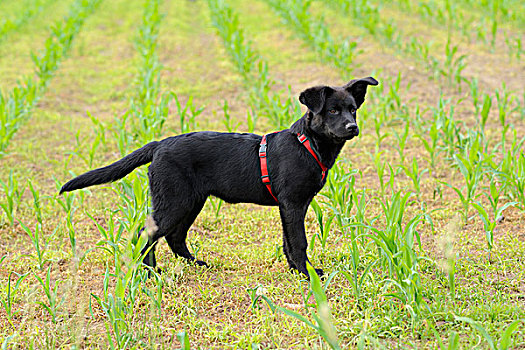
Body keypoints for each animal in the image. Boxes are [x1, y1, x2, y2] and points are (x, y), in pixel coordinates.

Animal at [61, 78, 376, 278]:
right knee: (145, 234)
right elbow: (299, 241)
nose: (353, 127)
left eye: (353, 109)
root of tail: (160, 144)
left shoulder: (290, 206)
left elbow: (288, 241)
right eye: (332, 110)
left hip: (190, 201)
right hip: (174, 201)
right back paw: (151, 273)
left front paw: (295, 271)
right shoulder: (293, 204)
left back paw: (195, 263)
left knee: (175, 236)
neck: (308, 144)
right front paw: (307, 273)